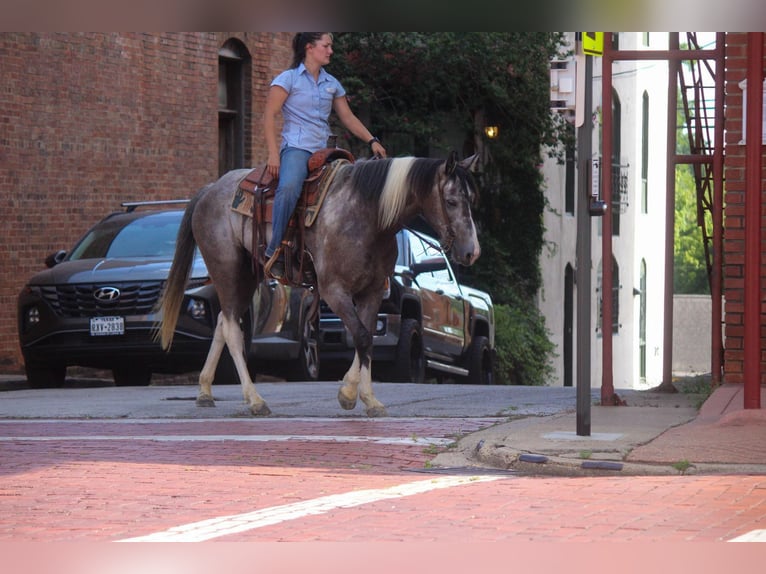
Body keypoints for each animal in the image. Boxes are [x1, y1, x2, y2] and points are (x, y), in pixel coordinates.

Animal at [159, 150, 484, 418]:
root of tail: (209, 190)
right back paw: (254, 400)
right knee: (232, 331)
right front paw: (359, 397)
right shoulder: (334, 290)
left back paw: (204, 391)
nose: (472, 252)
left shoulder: (372, 292)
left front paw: (356, 394)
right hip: (226, 268)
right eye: (451, 201)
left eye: (472, 200)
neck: (367, 215)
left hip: (247, 275)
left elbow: (365, 338)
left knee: (223, 324)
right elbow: (362, 337)